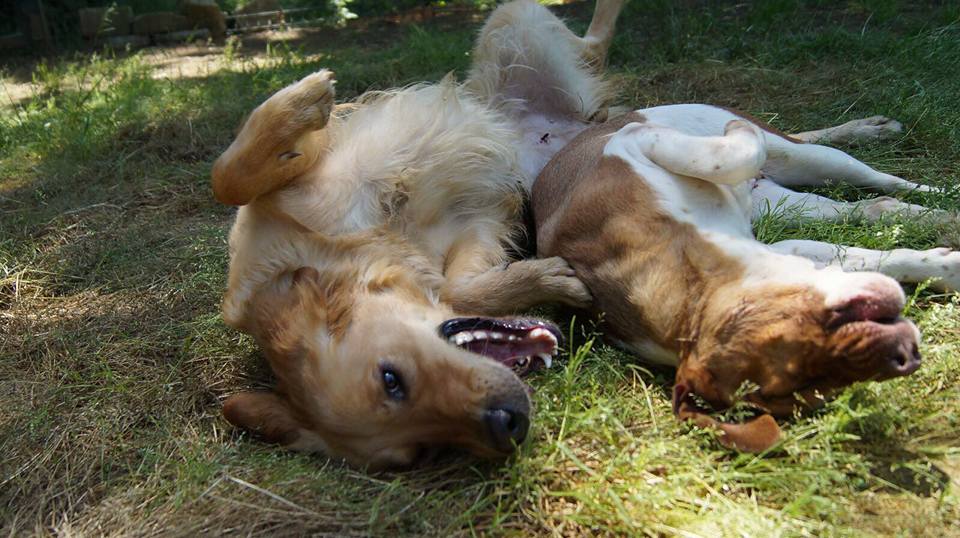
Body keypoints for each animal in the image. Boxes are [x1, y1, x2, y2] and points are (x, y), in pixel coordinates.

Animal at [213, 0, 628, 466]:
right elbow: (459, 288)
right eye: (424, 452)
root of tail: (578, 122)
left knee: (592, 44)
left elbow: (229, 179)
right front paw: (544, 279)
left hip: (508, 24)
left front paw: (300, 101)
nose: (508, 425)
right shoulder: (476, 222)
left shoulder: (299, 175)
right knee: (593, 52)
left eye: (391, 378)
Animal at [536, 103, 956, 448]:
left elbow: (728, 155)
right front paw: (948, 268)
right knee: (876, 206)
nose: (906, 355)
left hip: (805, 157)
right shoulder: (788, 249)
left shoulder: (633, 142)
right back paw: (937, 217)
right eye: (820, 385)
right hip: (791, 205)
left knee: (879, 177)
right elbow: (881, 258)